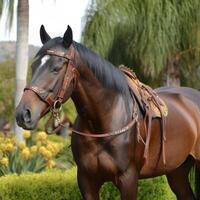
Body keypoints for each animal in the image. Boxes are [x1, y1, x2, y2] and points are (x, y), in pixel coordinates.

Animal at [15, 25, 200, 200]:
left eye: (56, 68)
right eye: (33, 66)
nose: (23, 114)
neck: (103, 122)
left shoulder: (128, 179)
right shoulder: (87, 181)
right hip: (177, 171)